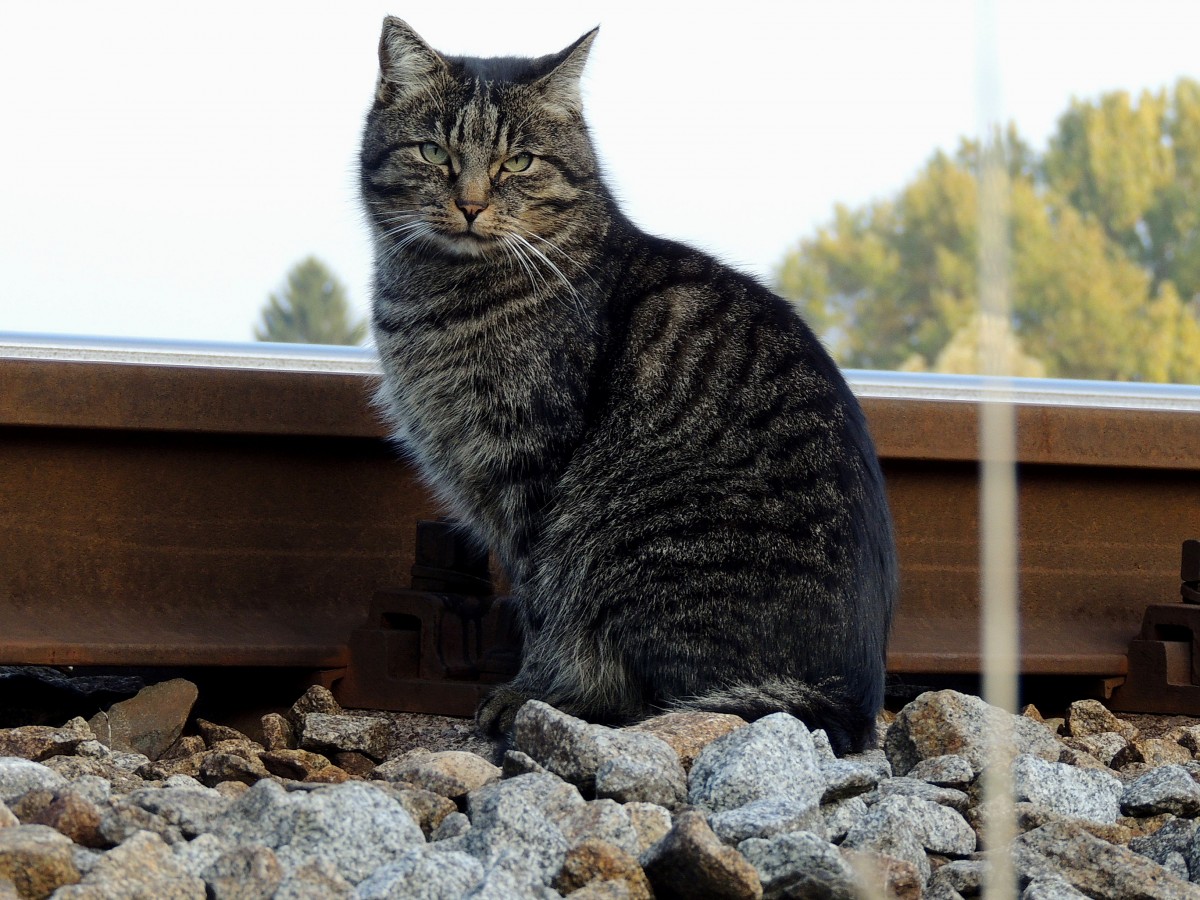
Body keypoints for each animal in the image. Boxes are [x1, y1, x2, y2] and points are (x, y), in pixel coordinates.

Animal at [360, 19, 897, 753]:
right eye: (433, 151)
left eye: (518, 163)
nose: (470, 204)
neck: (435, 299)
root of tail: (850, 701)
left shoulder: (532, 473)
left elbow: (539, 607)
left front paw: (530, 693)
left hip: (620, 537)